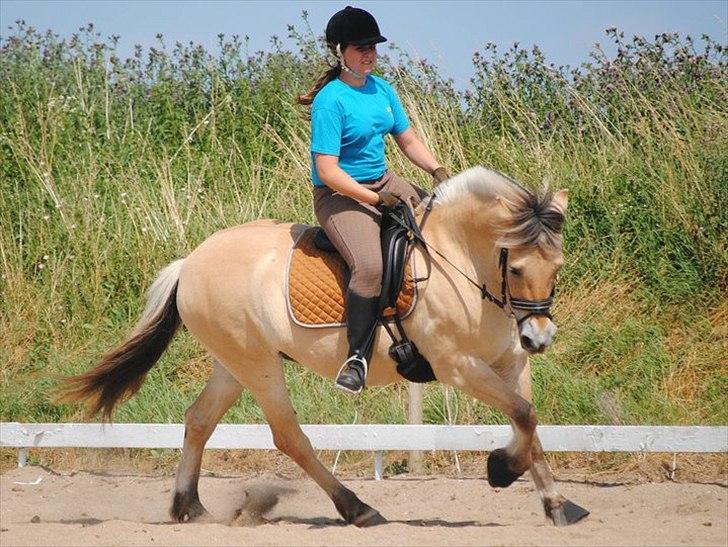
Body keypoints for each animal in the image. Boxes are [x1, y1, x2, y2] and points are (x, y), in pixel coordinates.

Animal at [59, 166, 588, 528]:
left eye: (558, 266)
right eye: (516, 267)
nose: (539, 337)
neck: (460, 263)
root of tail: (190, 261)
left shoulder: (510, 362)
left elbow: (529, 422)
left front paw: (556, 503)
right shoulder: (458, 366)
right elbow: (522, 415)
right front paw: (501, 469)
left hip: (233, 363)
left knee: (199, 420)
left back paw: (189, 506)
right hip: (259, 366)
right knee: (288, 437)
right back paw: (356, 507)